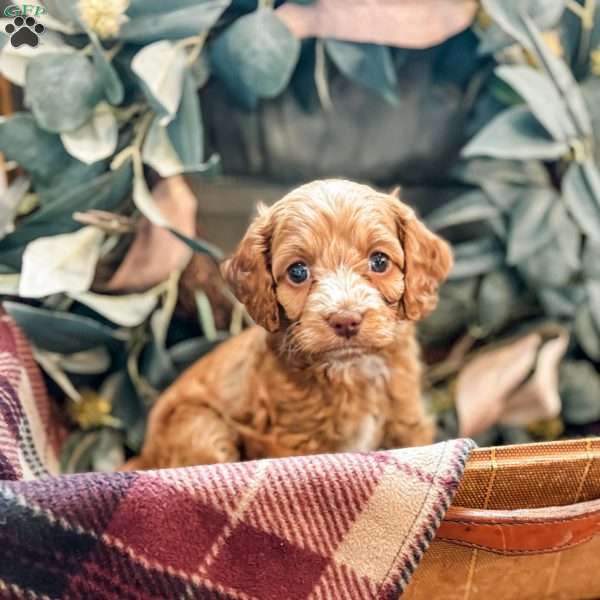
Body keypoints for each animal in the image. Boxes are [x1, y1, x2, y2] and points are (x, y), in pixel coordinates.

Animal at [125, 180, 450, 472]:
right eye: (297, 272)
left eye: (380, 261)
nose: (345, 320)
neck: (351, 370)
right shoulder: (296, 442)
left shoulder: (407, 421)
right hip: (200, 425)